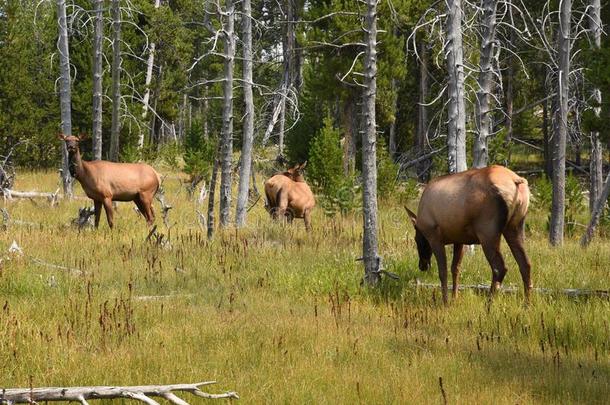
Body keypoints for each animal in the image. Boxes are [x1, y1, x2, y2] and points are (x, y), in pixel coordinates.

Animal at [404, 164, 532, 304]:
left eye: (416, 239)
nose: (422, 265)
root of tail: (517, 181)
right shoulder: (459, 240)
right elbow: (455, 268)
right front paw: (454, 298)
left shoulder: (435, 237)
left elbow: (443, 272)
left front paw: (445, 302)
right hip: (515, 227)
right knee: (525, 264)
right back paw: (527, 304)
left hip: (488, 232)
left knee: (499, 268)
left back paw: (488, 305)